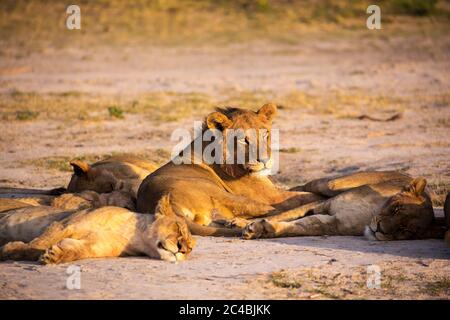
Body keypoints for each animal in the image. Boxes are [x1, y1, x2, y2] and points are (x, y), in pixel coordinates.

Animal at [0, 196, 196, 264]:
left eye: (190, 248)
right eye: (178, 227)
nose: (182, 249)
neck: (135, 236)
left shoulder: (94, 246)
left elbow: (76, 251)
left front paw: (55, 255)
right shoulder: (65, 224)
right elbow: (37, 243)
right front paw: (9, 250)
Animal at [137, 104, 324, 236]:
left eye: (265, 135)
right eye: (243, 140)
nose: (265, 161)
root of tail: (159, 204)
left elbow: (301, 188)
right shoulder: (271, 195)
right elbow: (302, 196)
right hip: (227, 195)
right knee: (275, 210)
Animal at [243, 172, 446, 240]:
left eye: (405, 230)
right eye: (396, 208)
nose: (380, 229)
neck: (369, 214)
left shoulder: (331, 224)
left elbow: (298, 226)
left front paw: (262, 229)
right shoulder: (326, 203)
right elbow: (285, 214)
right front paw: (245, 224)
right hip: (332, 184)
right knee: (304, 189)